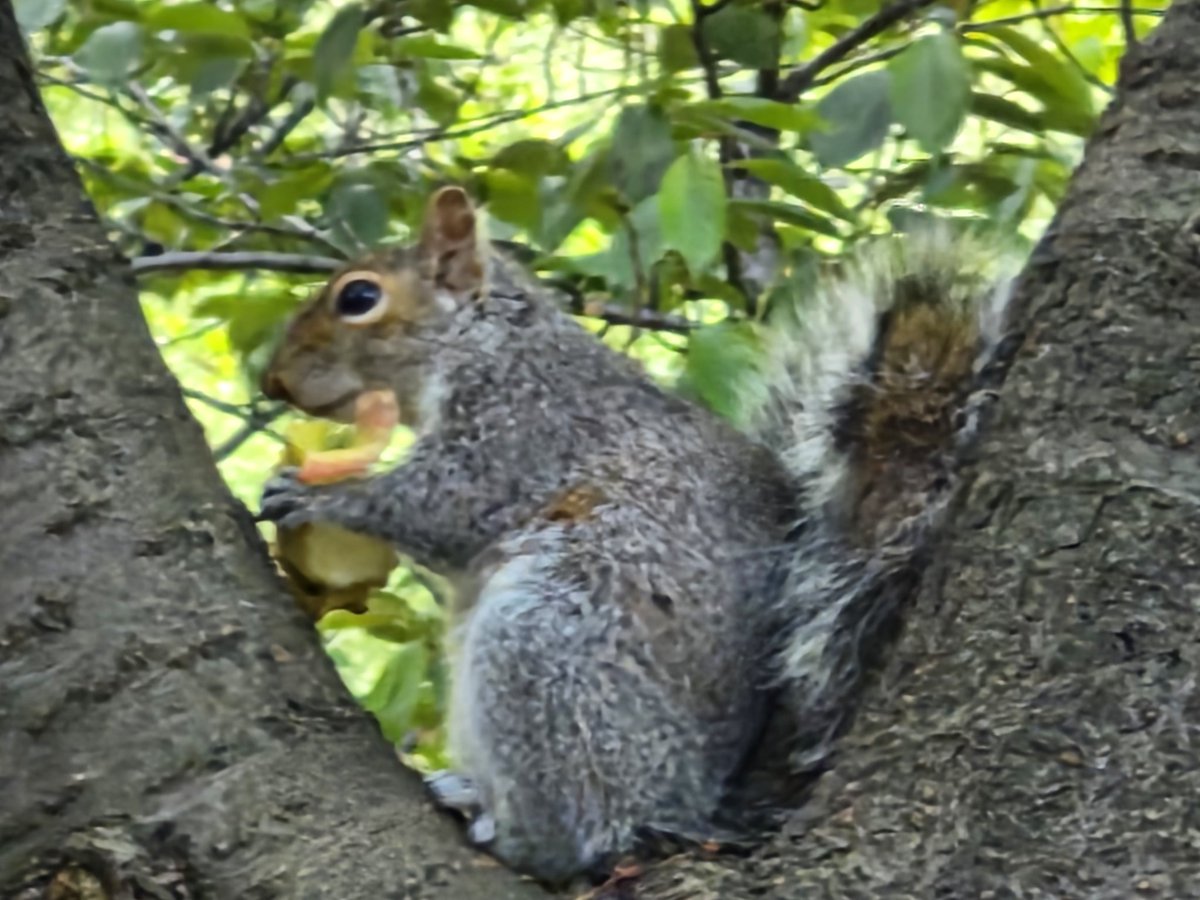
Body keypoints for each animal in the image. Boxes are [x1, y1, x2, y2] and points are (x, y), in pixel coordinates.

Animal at [258, 186, 1017, 882]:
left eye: (359, 297)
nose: (272, 382)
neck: (488, 341)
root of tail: (695, 803)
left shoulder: (524, 431)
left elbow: (441, 506)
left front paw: (315, 495)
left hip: (545, 645)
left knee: (582, 833)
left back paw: (509, 833)